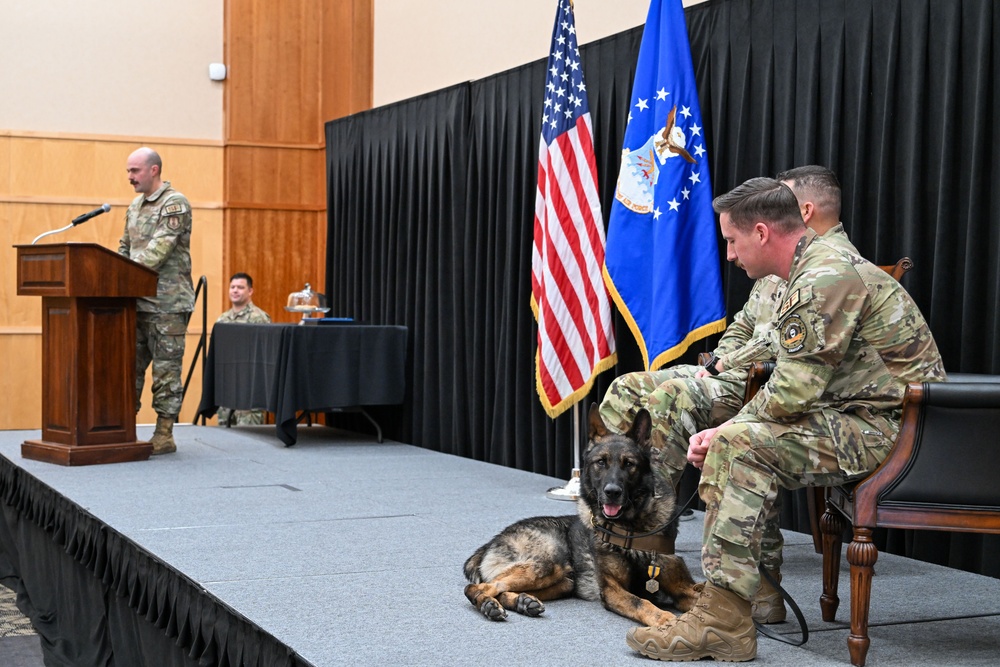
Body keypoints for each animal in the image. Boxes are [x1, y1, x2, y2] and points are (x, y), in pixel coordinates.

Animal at [460, 404, 696, 628]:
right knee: (479, 586)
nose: (612, 492)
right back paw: (488, 605)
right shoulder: (613, 590)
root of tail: (489, 544)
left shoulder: (684, 588)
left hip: (564, 582)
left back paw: (522, 602)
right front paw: (665, 619)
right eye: (600, 463)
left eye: (629, 464)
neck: (632, 529)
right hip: (549, 564)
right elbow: (641, 602)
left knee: (499, 589)